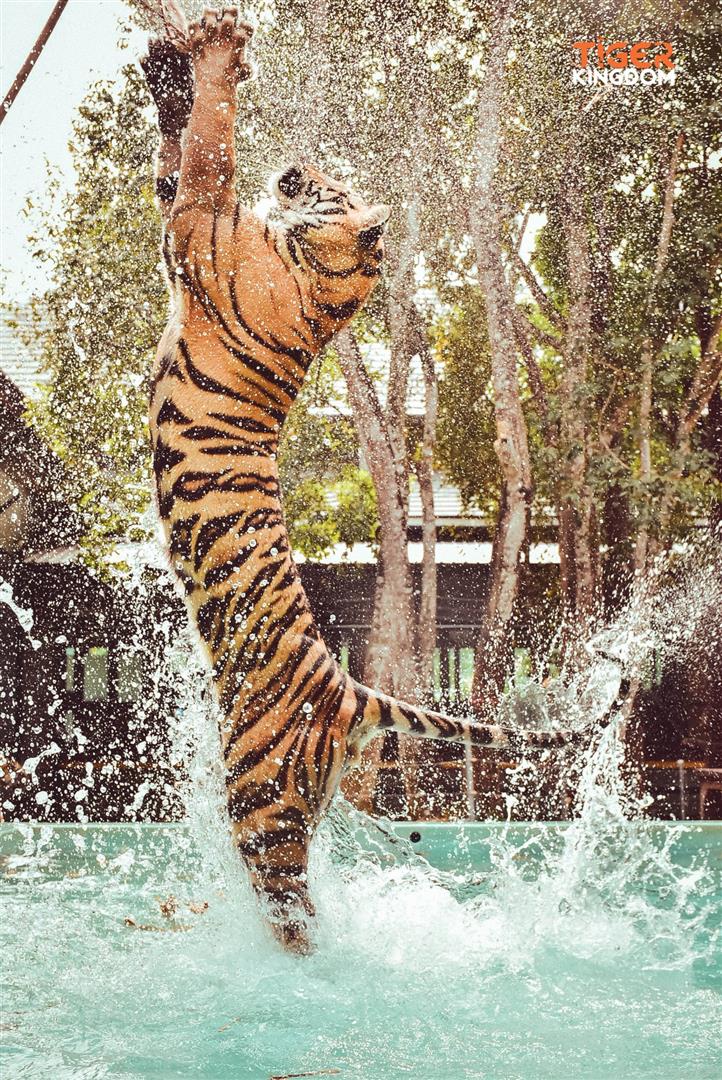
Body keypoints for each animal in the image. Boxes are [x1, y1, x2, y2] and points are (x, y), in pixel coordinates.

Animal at [142, 8, 578, 953]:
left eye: (333, 186)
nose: (298, 166)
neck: (327, 277)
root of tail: (343, 686)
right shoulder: (191, 226)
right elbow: (177, 153)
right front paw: (168, 71)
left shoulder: (201, 223)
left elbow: (209, 147)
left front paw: (217, 54)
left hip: (261, 799)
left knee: (291, 905)